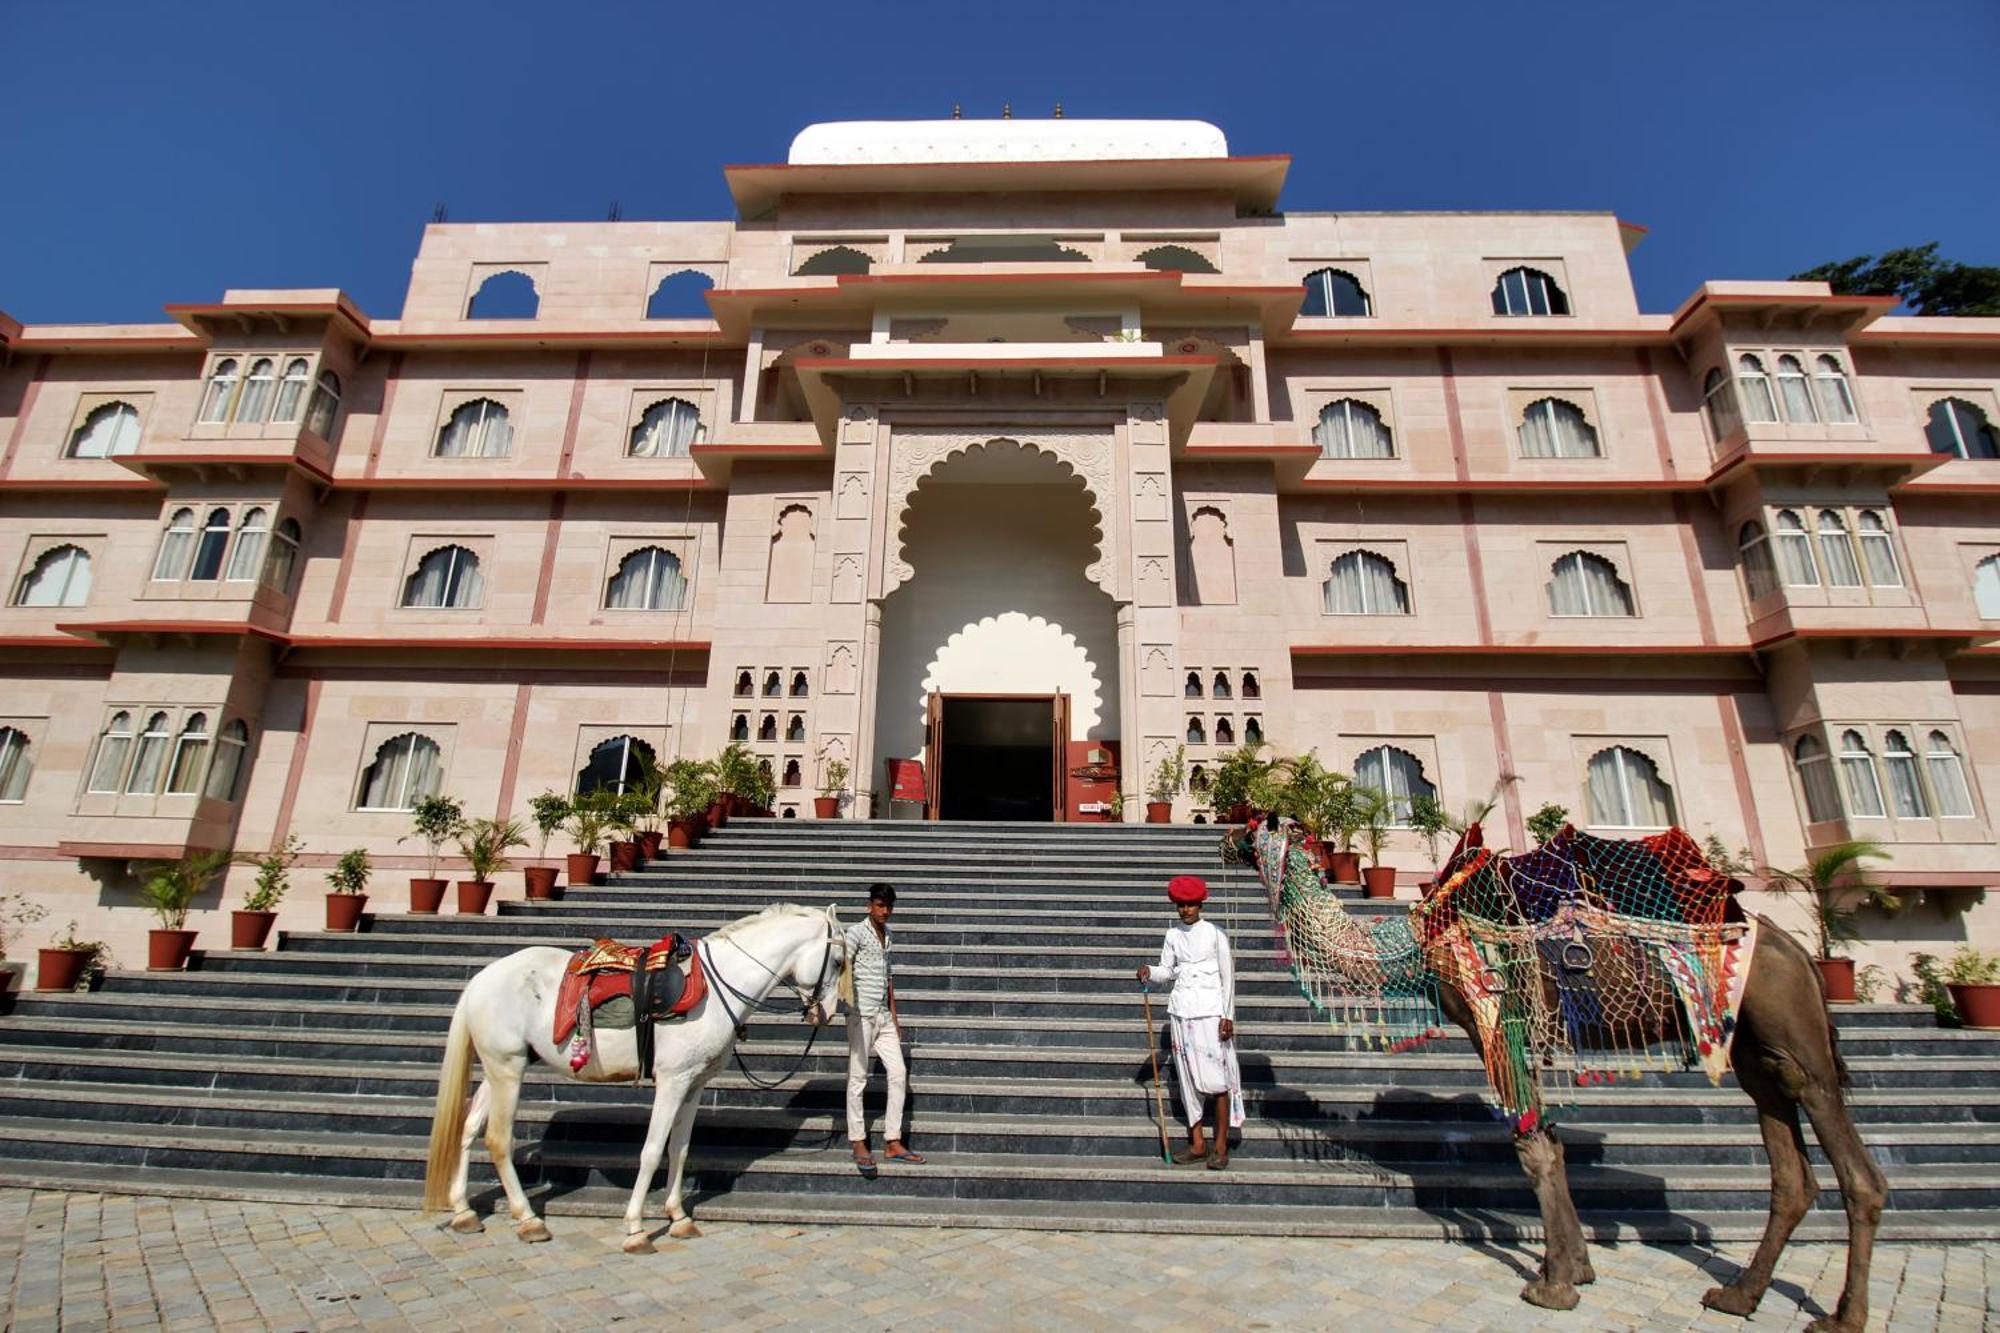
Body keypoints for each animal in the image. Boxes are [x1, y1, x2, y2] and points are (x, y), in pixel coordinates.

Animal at [424, 896, 844, 1248]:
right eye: (838, 962)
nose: (826, 1014)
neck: (720, 986)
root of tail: (480, 980)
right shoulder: (672, 1081)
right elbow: (652, 1151)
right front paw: (636, 1228)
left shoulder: (694, 1084)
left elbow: (680, 1149)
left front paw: (678, 1218)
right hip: (508, 1067)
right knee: (497, 1139)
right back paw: (528, 1219)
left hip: (498, 1066)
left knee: (468, 1128)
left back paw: (463, 1210)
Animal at [1216, 808, 1888, 1328]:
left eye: (1250, 825)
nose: (1218, 836)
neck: (1414, 945)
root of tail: (1802, 952)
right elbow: (1552, 1141)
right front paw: (1574, 1267)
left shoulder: (1495, 1020)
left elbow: (1533, 1148)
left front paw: (1554, 1285)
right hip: (1752, 1047)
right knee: (1790, 1170)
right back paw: (1737, 1295)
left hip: (1790, 1024)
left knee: (1854, 1163)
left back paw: (1842, 1317)